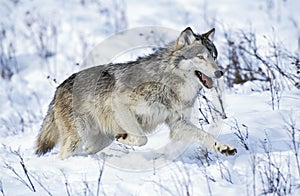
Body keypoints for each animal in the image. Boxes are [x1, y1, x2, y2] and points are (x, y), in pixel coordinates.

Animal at [35, 26, 237, 158]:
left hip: (101, 139)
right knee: (64, 155)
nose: (220, 72)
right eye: (201, 57)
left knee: (86, 151)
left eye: (214, 56)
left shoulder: (178, 124)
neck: (168, 82)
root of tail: (59, 87)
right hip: (78, 137)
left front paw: (223, 148)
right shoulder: (121, 104)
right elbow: (142, 139)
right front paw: (125, 137)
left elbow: (206, 135)